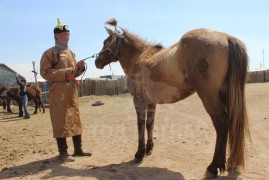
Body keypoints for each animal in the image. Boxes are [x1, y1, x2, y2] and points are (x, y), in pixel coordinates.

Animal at [94, 18, 249, 177]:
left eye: (105, 42)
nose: (97, 62)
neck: (138, 58)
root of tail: (226, 37)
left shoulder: (139, 101)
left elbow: (140, 125)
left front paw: (139, 154)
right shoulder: (151, 103)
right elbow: (150, 124)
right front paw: (149, 148)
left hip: (209, 96)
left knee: (221, 123)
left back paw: (213, 167)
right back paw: (229, 162)